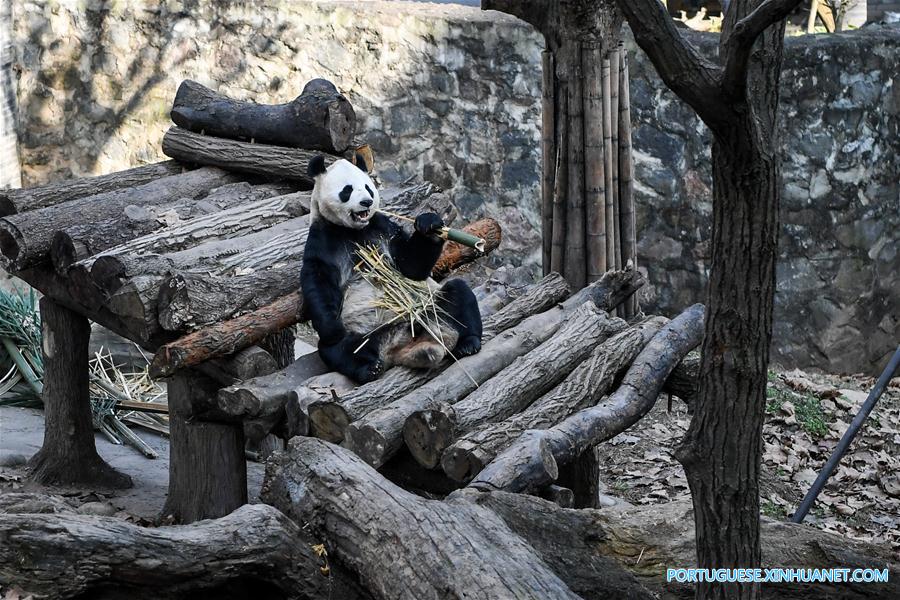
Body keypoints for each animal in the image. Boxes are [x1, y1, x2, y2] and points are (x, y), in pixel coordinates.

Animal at [301, 154, 483, 383]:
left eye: (368, 188)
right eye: (347, 190)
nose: (367, 202)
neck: (353, 231)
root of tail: (400, 346)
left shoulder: (382, 227)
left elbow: (411, 267)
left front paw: (429, 225)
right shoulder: (323, 238)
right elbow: (319, 280)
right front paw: (331, 327)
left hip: (431, 306)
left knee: (458, 295)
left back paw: (468, 343)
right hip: (365, 332)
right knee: (338, 347)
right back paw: (370, 368)